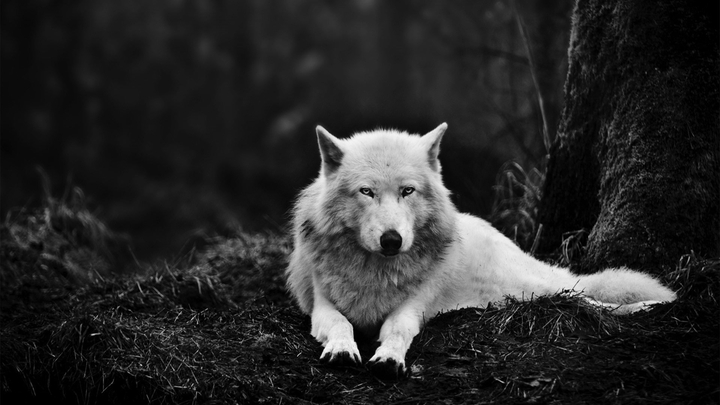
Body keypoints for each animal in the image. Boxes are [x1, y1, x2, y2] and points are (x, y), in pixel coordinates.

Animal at [286, 123, 676, 379]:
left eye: (408, 191)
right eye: (366, 192)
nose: (392, 240)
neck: (376, 272)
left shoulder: (413, 308)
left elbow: (397, 329)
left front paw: (389, 358)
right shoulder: (321, 305)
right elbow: (340, 323)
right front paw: (342, 349)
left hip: (535, 288)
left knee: (587, 297)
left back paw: (652, 305)